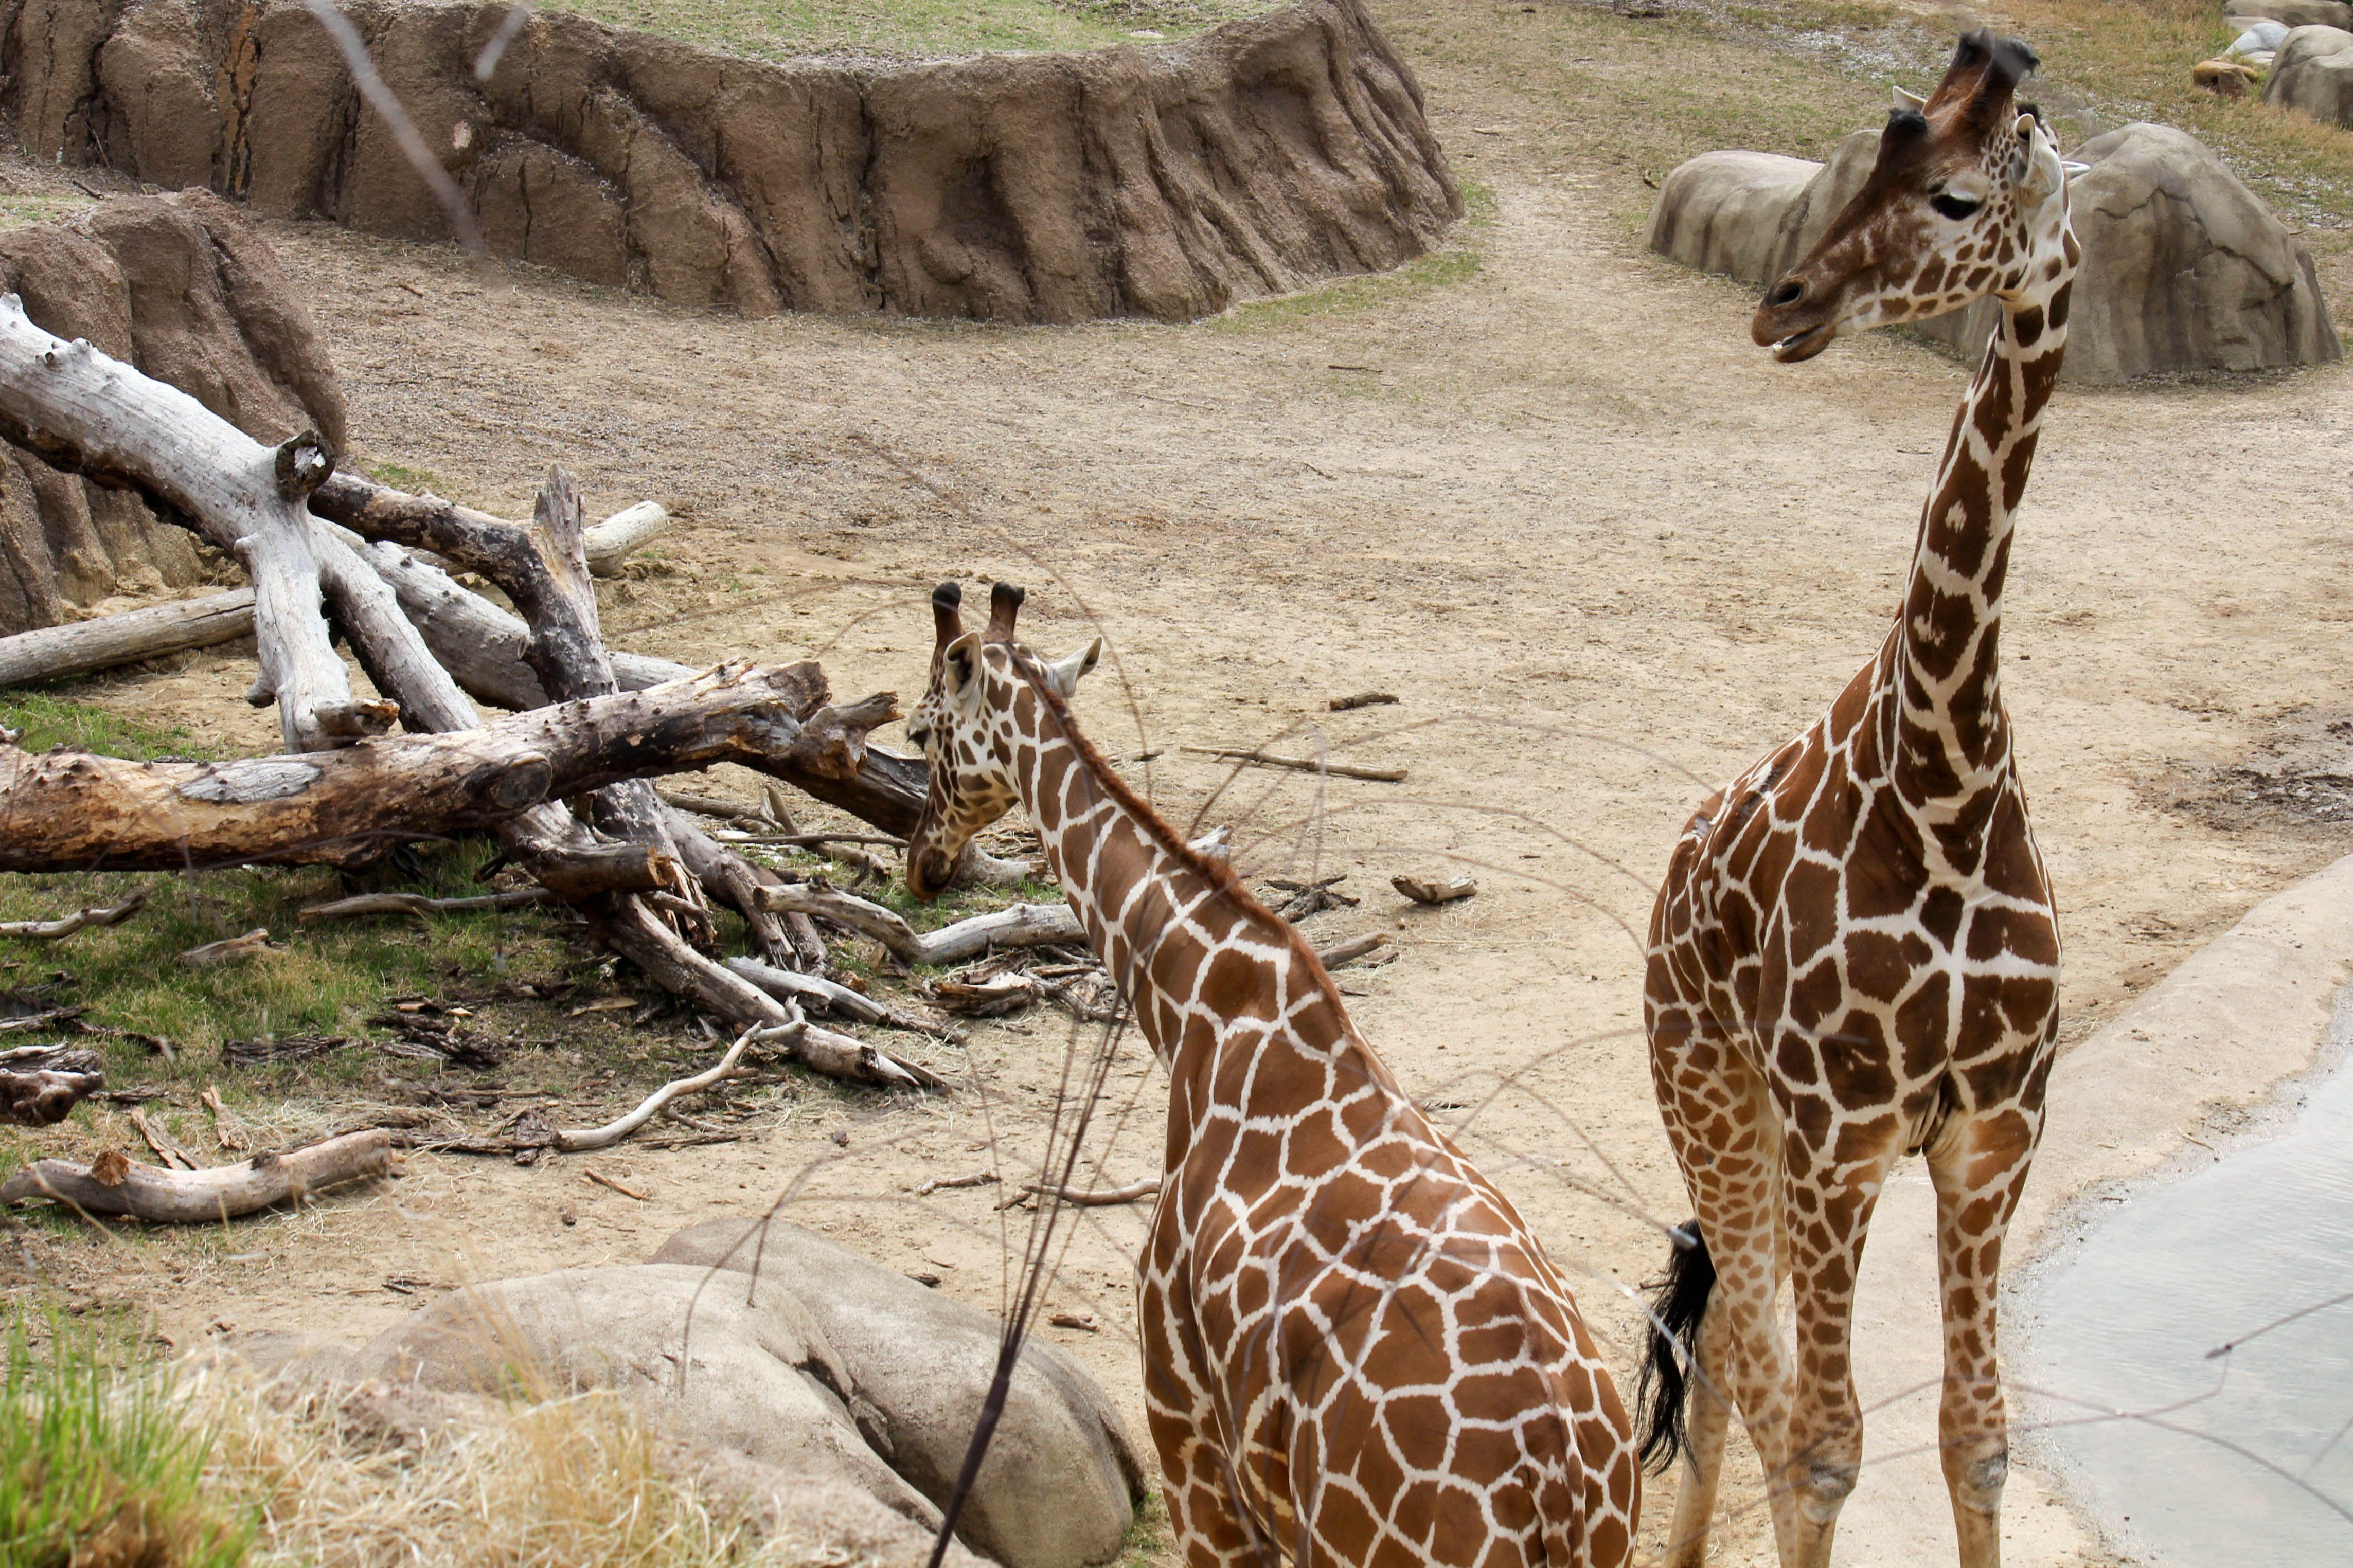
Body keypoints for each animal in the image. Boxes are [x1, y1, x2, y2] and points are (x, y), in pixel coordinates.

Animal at [1637, 30, 2080, 1568]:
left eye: (1952, 195)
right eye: (1872, 149)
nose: (1783, 306)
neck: (1944, 775)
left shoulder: (1992, 1129)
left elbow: (1977, 1438)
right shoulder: (1842, 1130)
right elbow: (1828, 1450)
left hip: (1774, 1140)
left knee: (1728, 1342)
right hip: (1712, 1096)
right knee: (1746, 1358)